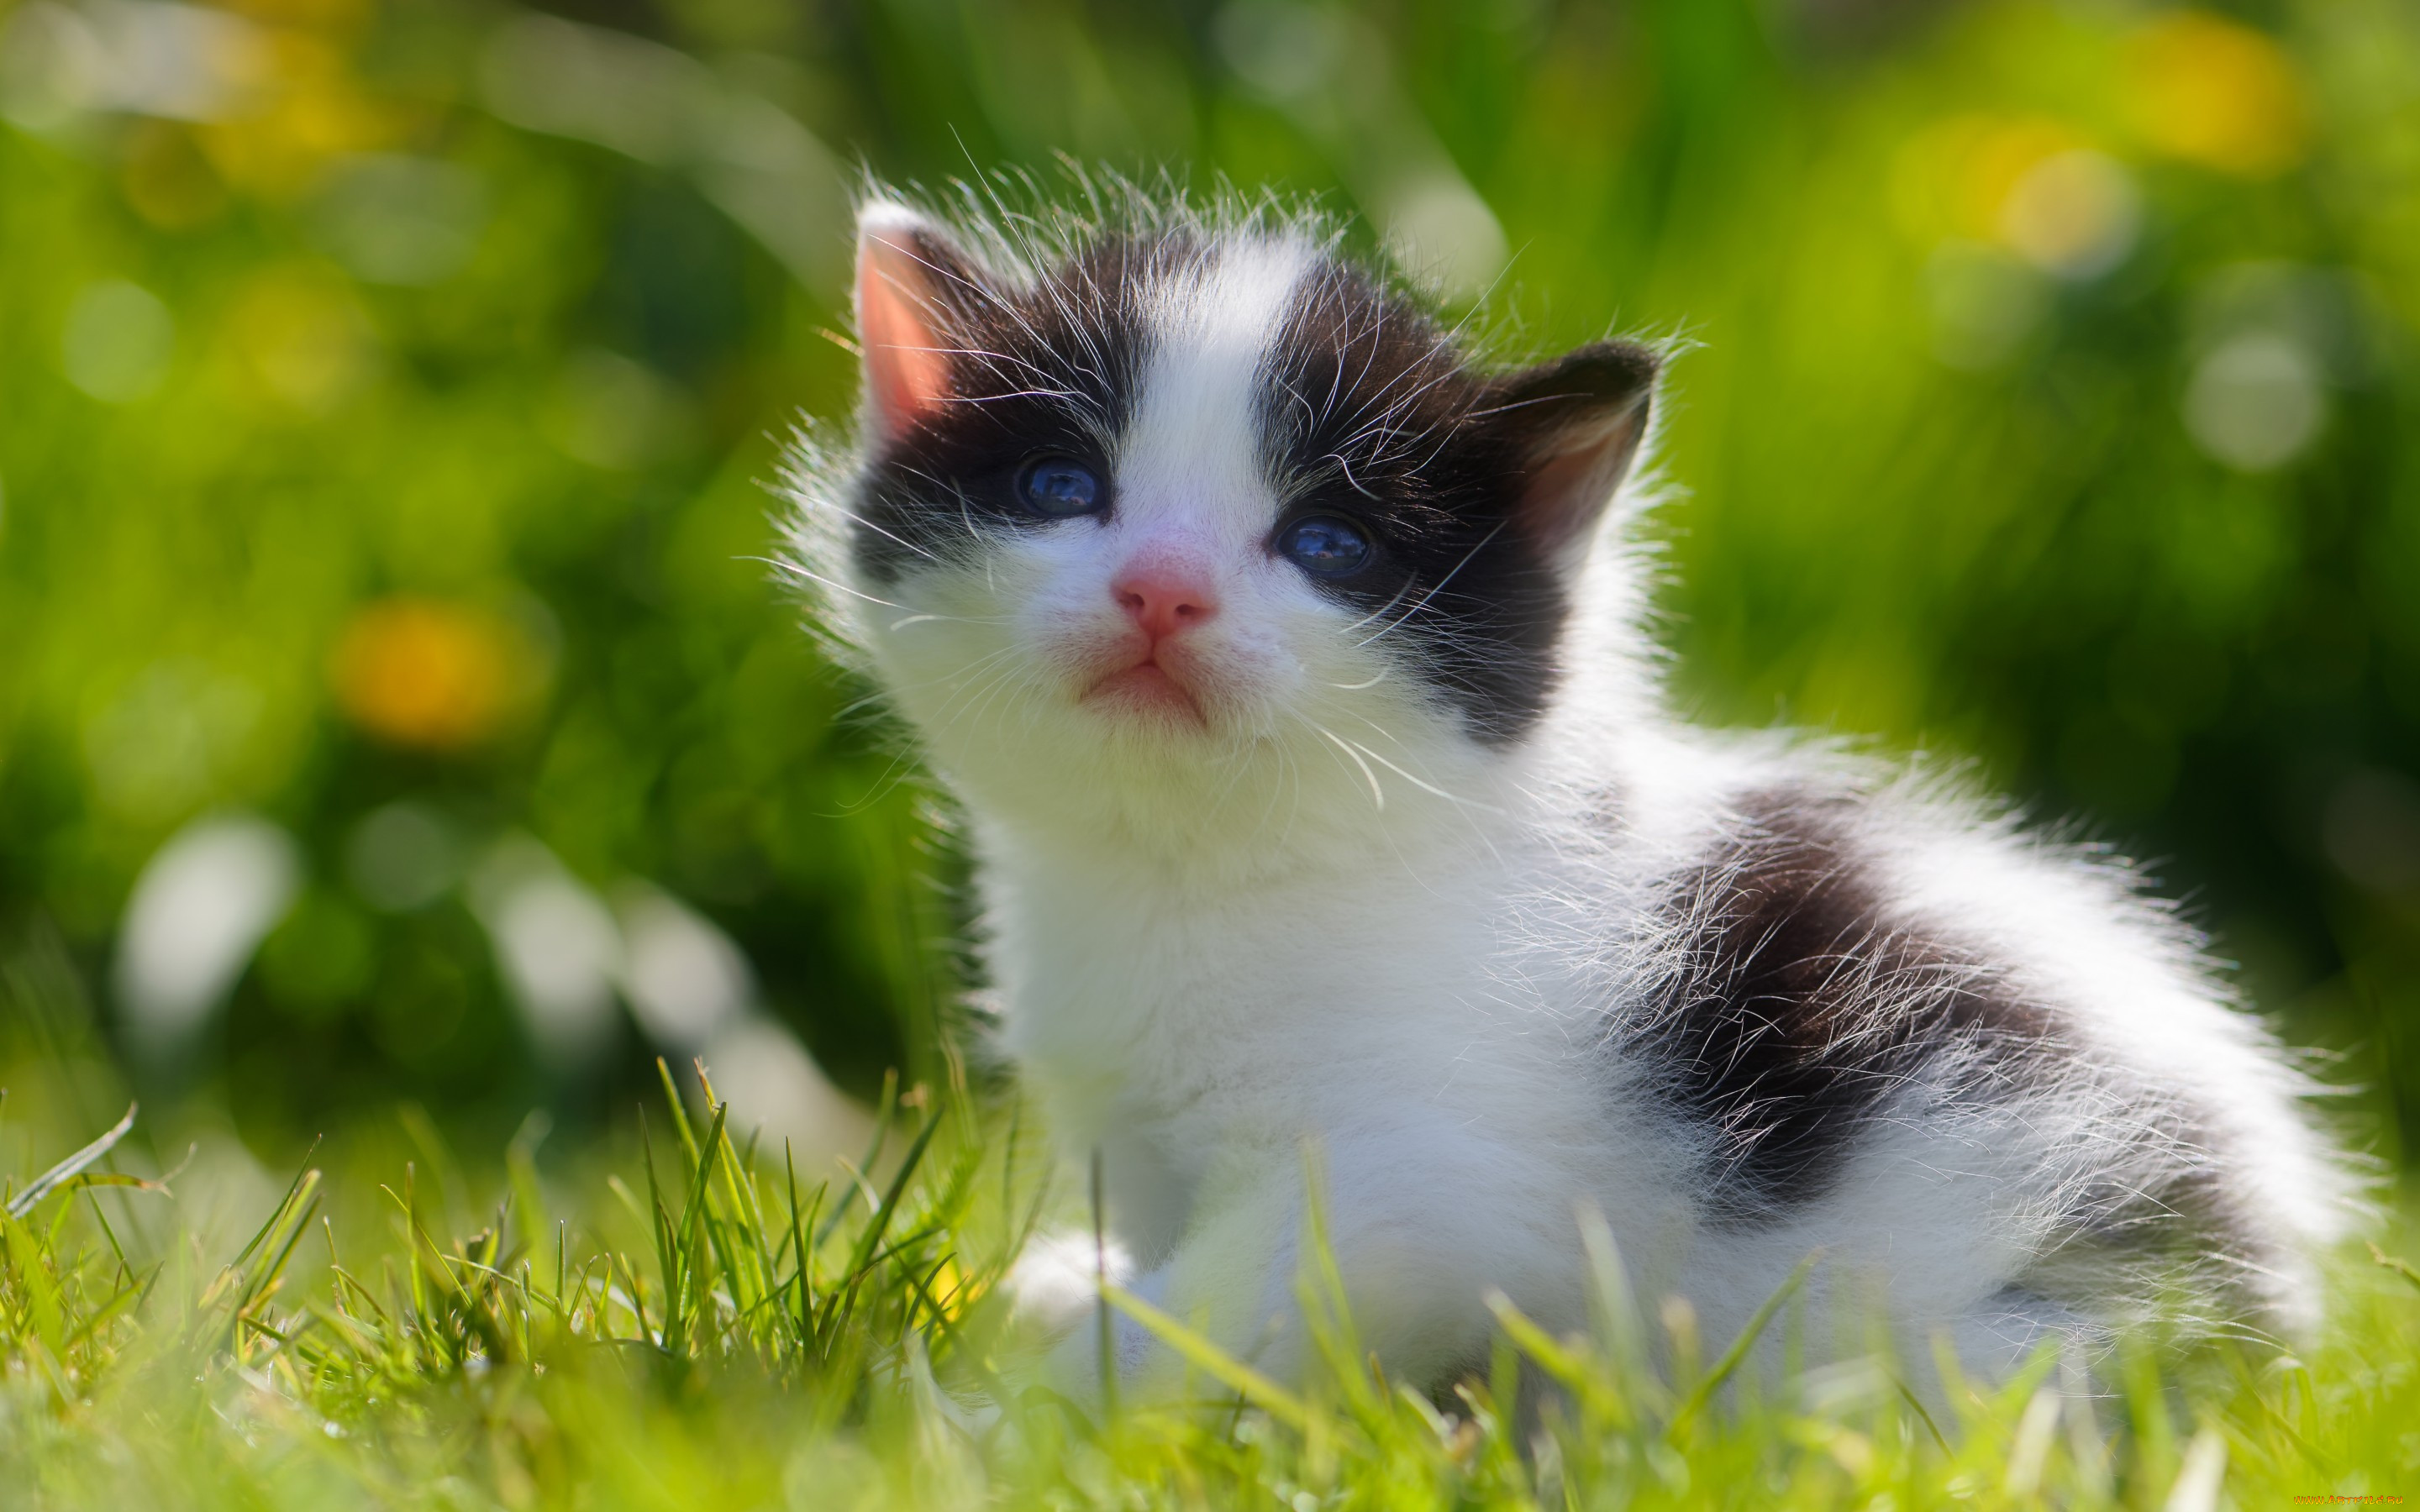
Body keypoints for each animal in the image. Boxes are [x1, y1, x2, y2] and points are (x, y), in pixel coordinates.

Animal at [784, 194, 2352, 1393]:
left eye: (1330, 544)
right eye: (1061, 485)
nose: (1162, 589)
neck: (1192, 867)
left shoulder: (1431, 1171)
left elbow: (1243, 1301)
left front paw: (993, 1417)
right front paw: (1058, 1295)